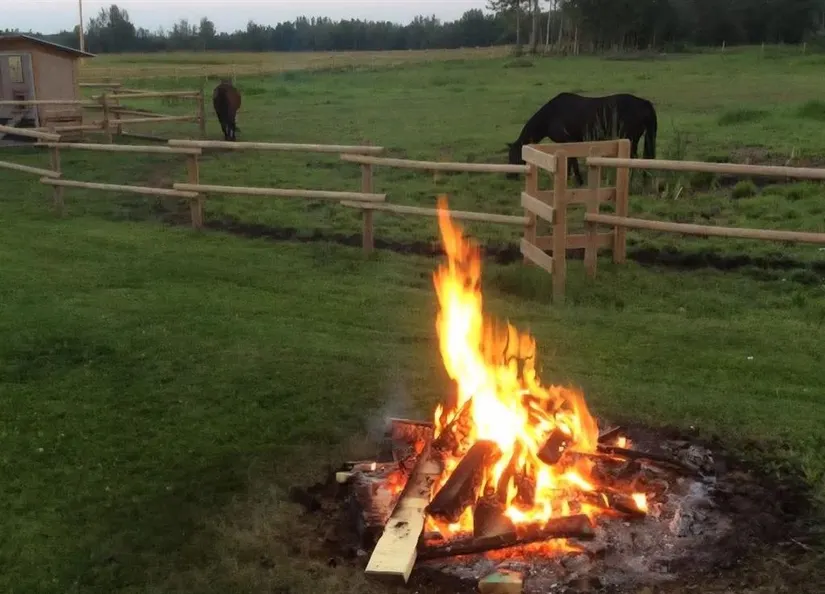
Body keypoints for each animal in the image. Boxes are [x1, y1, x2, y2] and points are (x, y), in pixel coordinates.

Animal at [506, 92, 658, 185]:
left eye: (514, 155)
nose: (509, 176)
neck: (550, 116)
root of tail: (644, 103)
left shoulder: (568, 141)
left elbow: (572, 160)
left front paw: (577, 180)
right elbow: (569, 161)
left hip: (631, 139)